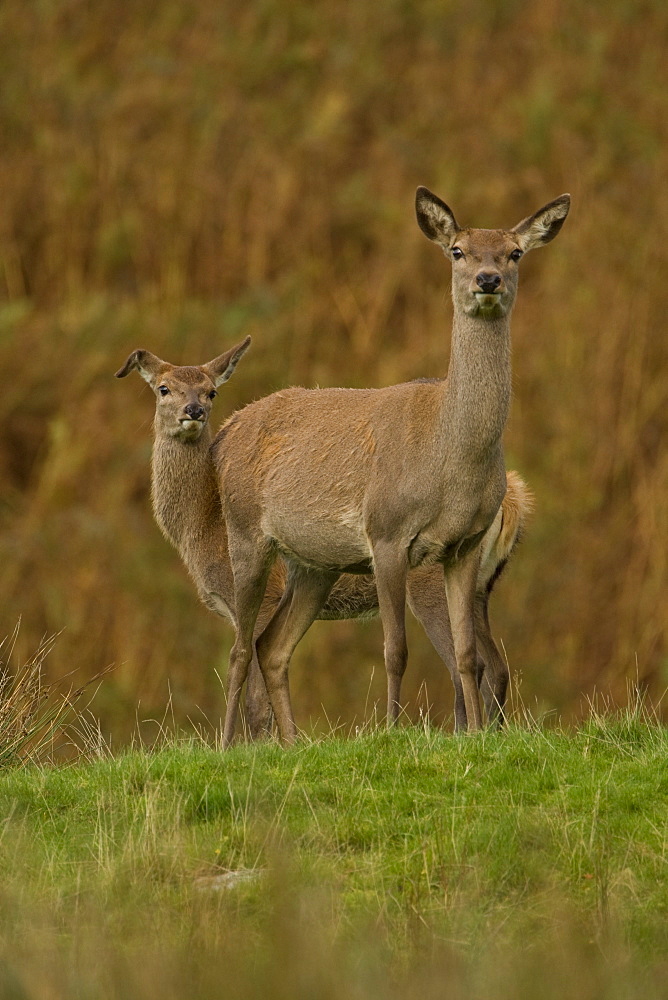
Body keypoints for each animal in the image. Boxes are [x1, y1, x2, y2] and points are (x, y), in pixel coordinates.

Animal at [115, 336, 528, 736]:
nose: (193, 411)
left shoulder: (266, 595)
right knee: (497, 666)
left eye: (211, 391)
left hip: (425, 582)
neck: (201, 527)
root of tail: (514, 502)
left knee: (468, 667)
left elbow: (256, 700)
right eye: (164, 388)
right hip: (481, 587)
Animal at [214, 191, 568, 748]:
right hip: (246, 532)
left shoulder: (465, 544)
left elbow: (467, 655)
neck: (450, 462)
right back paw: (228, 745)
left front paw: (474, 736)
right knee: (238, 648)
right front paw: (391, 731)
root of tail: (229, 432)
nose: (488, 279)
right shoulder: (385, 532)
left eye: (515, 252)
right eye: (457, 250)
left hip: (315, 563)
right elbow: (395, 650)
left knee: (271, 645)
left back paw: (292, 743)